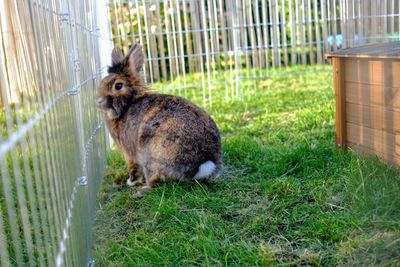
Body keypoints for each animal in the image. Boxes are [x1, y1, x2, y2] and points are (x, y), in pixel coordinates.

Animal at [95, 44, 223, 197]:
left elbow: (133, 169)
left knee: (156, 182)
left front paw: (130, 182)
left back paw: (141, 190)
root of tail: (204, 160)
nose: (98, 101)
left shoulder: (129, 153)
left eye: (118, 86)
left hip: (150, 158)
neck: (129, 103)